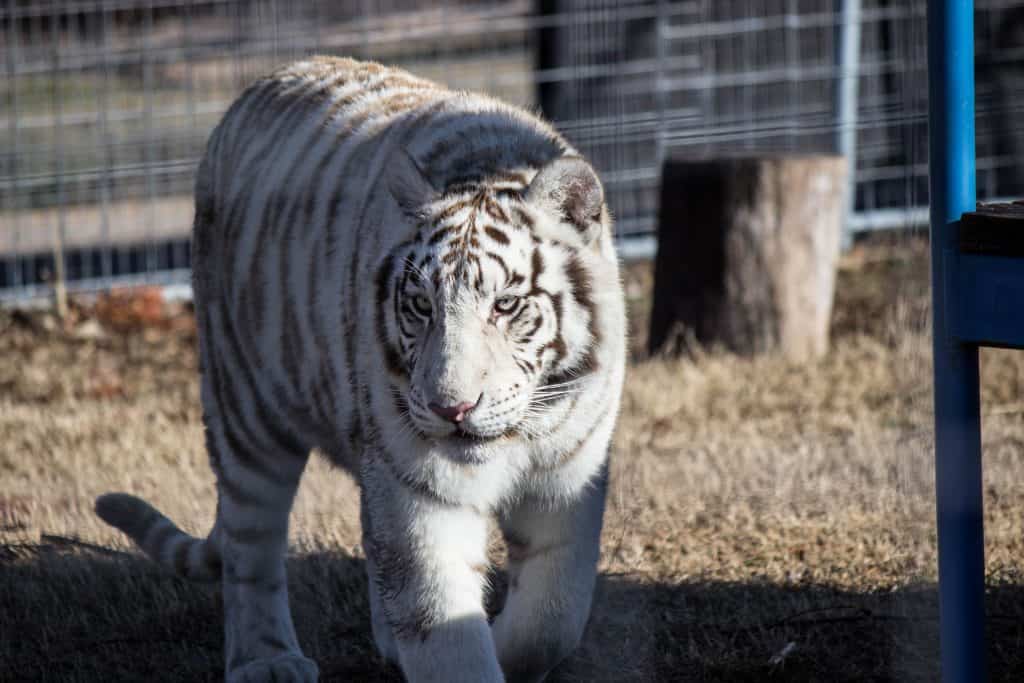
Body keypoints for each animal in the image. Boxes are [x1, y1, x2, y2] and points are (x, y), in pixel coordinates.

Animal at [97, 57, 622, 683]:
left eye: (506, 305)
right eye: (420, 305)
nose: (451, 408)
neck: (522, 436)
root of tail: (264, 81)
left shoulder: (569, 480)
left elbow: (553, 617)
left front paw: (507, 648)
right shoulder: (420, 487)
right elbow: (444, 626)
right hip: (245, 409)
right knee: (251, 545)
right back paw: (267, 660)